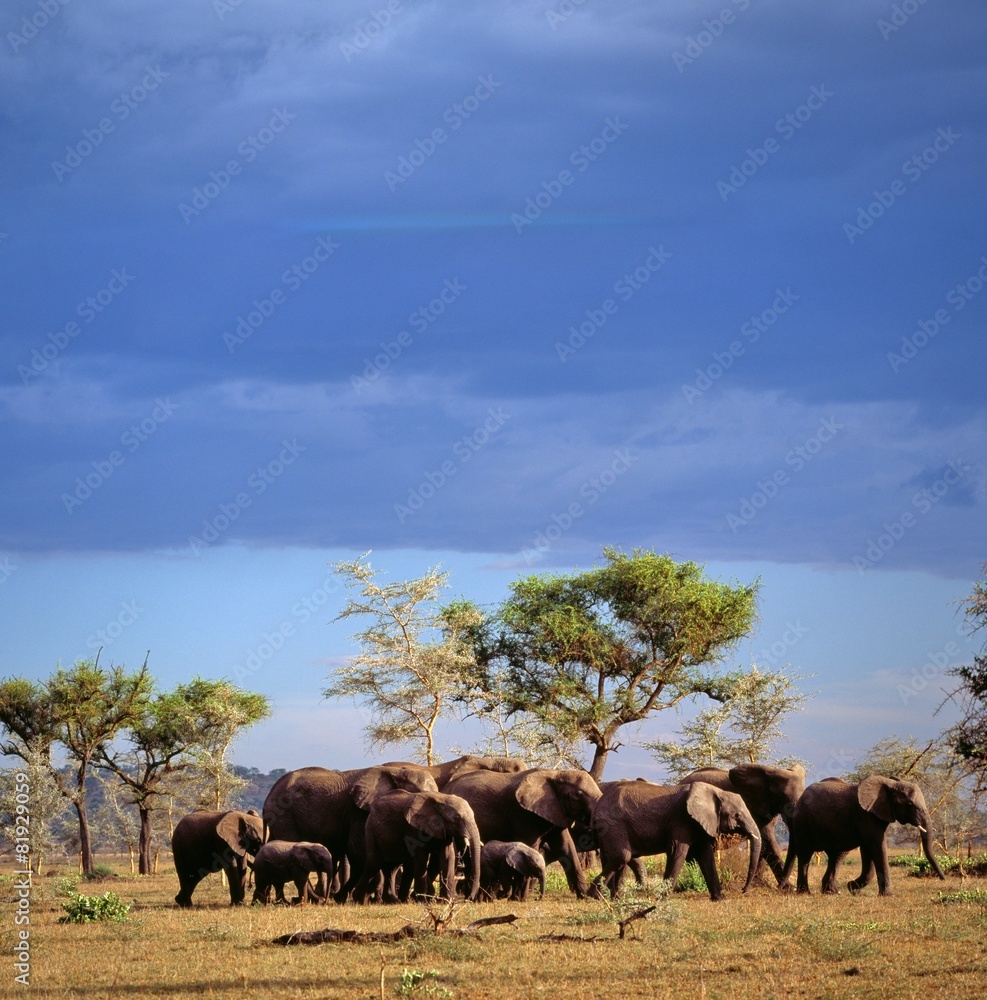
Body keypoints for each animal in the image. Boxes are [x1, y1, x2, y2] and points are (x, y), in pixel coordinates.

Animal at [262, 763, 438, 902]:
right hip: (284, 815)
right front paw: (358, 897)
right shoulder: (358, 812)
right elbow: (359, 851)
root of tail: (268, 797)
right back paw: (314, 899)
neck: (395, 772)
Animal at [353, 789, 482, 903]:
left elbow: (448, 857)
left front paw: (446, 901)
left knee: (392, 868)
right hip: (371, 829)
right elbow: (421, 859)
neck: (441, 798)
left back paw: (393, 901)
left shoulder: (443, 830)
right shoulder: (413, 829)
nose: (470, 898)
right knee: (373, 864)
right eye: (457, 818)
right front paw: (422, 901)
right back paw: (359, 900)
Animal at [444, 767, 602, 898]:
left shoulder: (556, 812)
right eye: (579, 794)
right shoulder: (523, 815)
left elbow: (566, 847)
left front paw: (585, 897)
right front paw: (519, 898)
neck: (554, 774)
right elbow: (532, 847)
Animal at [591, 780, 762, 901]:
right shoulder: (681, 819)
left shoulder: (696, 823)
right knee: (622, 857)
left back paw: (610, 898)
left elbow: (706, 855)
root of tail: (598, 805)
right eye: (737, 815)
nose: (743, 890)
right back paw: (592, 895)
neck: (715, 791)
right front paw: (662, 900)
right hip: (613, 825)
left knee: (612, 858)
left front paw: (720, 899)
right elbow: (677, 852)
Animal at [780, 775, 946, 895]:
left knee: (836, 856)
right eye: (909, 804)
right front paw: (886, 895)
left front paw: (851, 887)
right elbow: (877, 846)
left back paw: (832, 892)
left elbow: (868, 850)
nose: (943, 878)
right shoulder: (866, 816)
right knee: (805, 855)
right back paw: (805, 893)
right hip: (802, 823)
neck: (889, 783)